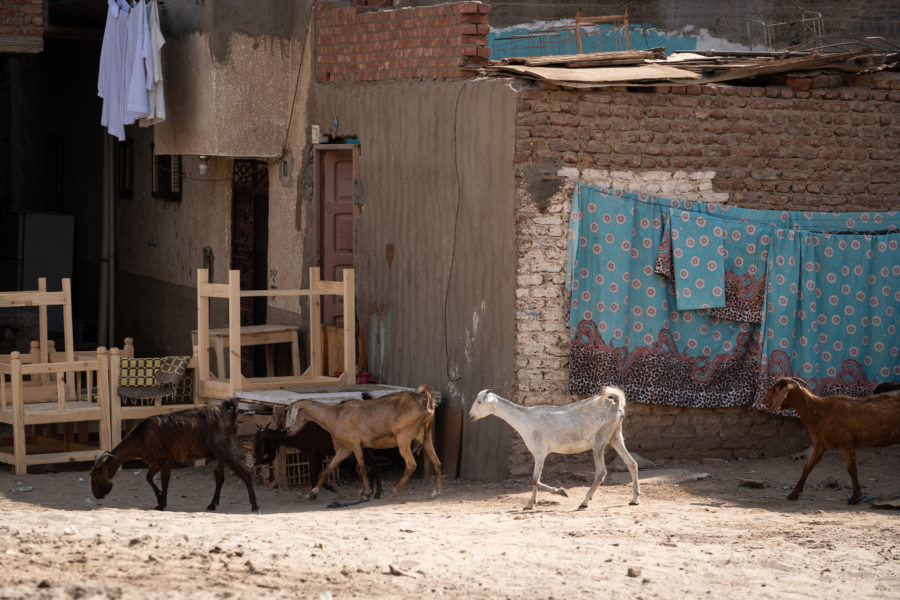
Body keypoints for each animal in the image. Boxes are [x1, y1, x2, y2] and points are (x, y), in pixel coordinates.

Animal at [89, 400, 258, 512]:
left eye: (95, 476)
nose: (97, 495)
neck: (142, 436)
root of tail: (230, 415)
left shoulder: (164, 459)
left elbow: (164, 481)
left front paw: (161, 503)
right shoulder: (157, 461)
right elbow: (149, 477)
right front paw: (159, 498)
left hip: (226, 451)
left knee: (246, 473)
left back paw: (254, 505)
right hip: (221, 453)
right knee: (220, 477)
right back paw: (212, 504)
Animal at [253, 420, 384, 500]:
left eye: (257, 439)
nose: (255, 455)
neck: (298, 433)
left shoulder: (313, 453)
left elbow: (314, 474)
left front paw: (315, 493)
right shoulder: (318, 455)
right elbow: (319, 473)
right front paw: (324, 489)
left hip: (363, 449)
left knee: (375, 465)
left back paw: (377, 492)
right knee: (373, 466)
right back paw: (373, 491)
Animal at [286, 386, 442, 500]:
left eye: (289, 412)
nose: (287, 430)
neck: (335, 416)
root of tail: (425, 402)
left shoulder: (355, 445)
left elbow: (361, 468)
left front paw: (367, 492)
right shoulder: (344, 449)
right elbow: (327, 470)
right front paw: (313, 492)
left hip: (403, 437)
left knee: (411, 464)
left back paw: (394, 491)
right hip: (427, 436)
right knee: (437, 462)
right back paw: (435, 492)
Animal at [472, 386, 640, 508]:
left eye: (479, 402)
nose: (470, 415)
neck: (525, 418)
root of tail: (616, 404)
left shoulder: (540, 452)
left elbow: (534, 480)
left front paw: (561, 492)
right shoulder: (538, 454)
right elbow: (535, 480)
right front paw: (530, 504)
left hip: (599, 439)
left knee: (601, 472)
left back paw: (584, 502)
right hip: (615, 436)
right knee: (632, 464)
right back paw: (634, 499)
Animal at [760, 378, 900, 504]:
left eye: (775, 389)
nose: (763, 401)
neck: (823, 410)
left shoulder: (846, 443)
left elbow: (851, 469)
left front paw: (854, 498)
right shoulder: (821, 444)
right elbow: (808, 466)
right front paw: (793, 494)